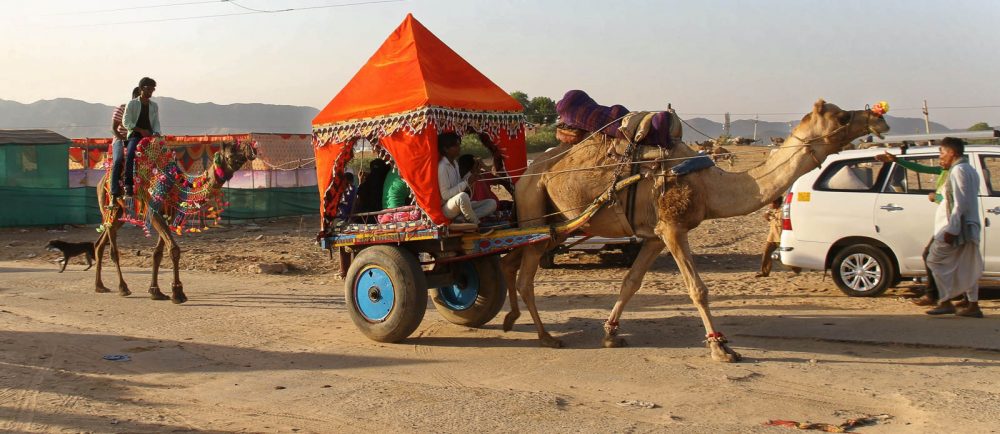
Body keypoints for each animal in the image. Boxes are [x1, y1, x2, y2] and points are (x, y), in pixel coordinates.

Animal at [94, 139, 256, 303]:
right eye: (231, 153)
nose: (251, 148)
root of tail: (101, 181)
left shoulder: (168, 217)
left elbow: (157, 254)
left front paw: (155, 291)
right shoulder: (154, 213)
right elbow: (174, 249)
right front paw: (178, 293)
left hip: (121, 213)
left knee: (100, 242)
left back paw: (100, 286)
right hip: (109, 206)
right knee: (113, 248)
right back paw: (123, 288)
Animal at [500, 99, 889, 362]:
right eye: (842, 116)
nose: (879, 118)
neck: (707, 183)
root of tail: (527, 173)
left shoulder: (654, 235)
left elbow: (631, 283)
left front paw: (611, 334)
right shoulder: (674, 227)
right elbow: (697, 289)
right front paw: (721, 347)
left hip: (551, 225)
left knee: (513, 267)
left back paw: (514, 321)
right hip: (535, 213)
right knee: (524, 278)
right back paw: (545, 335)